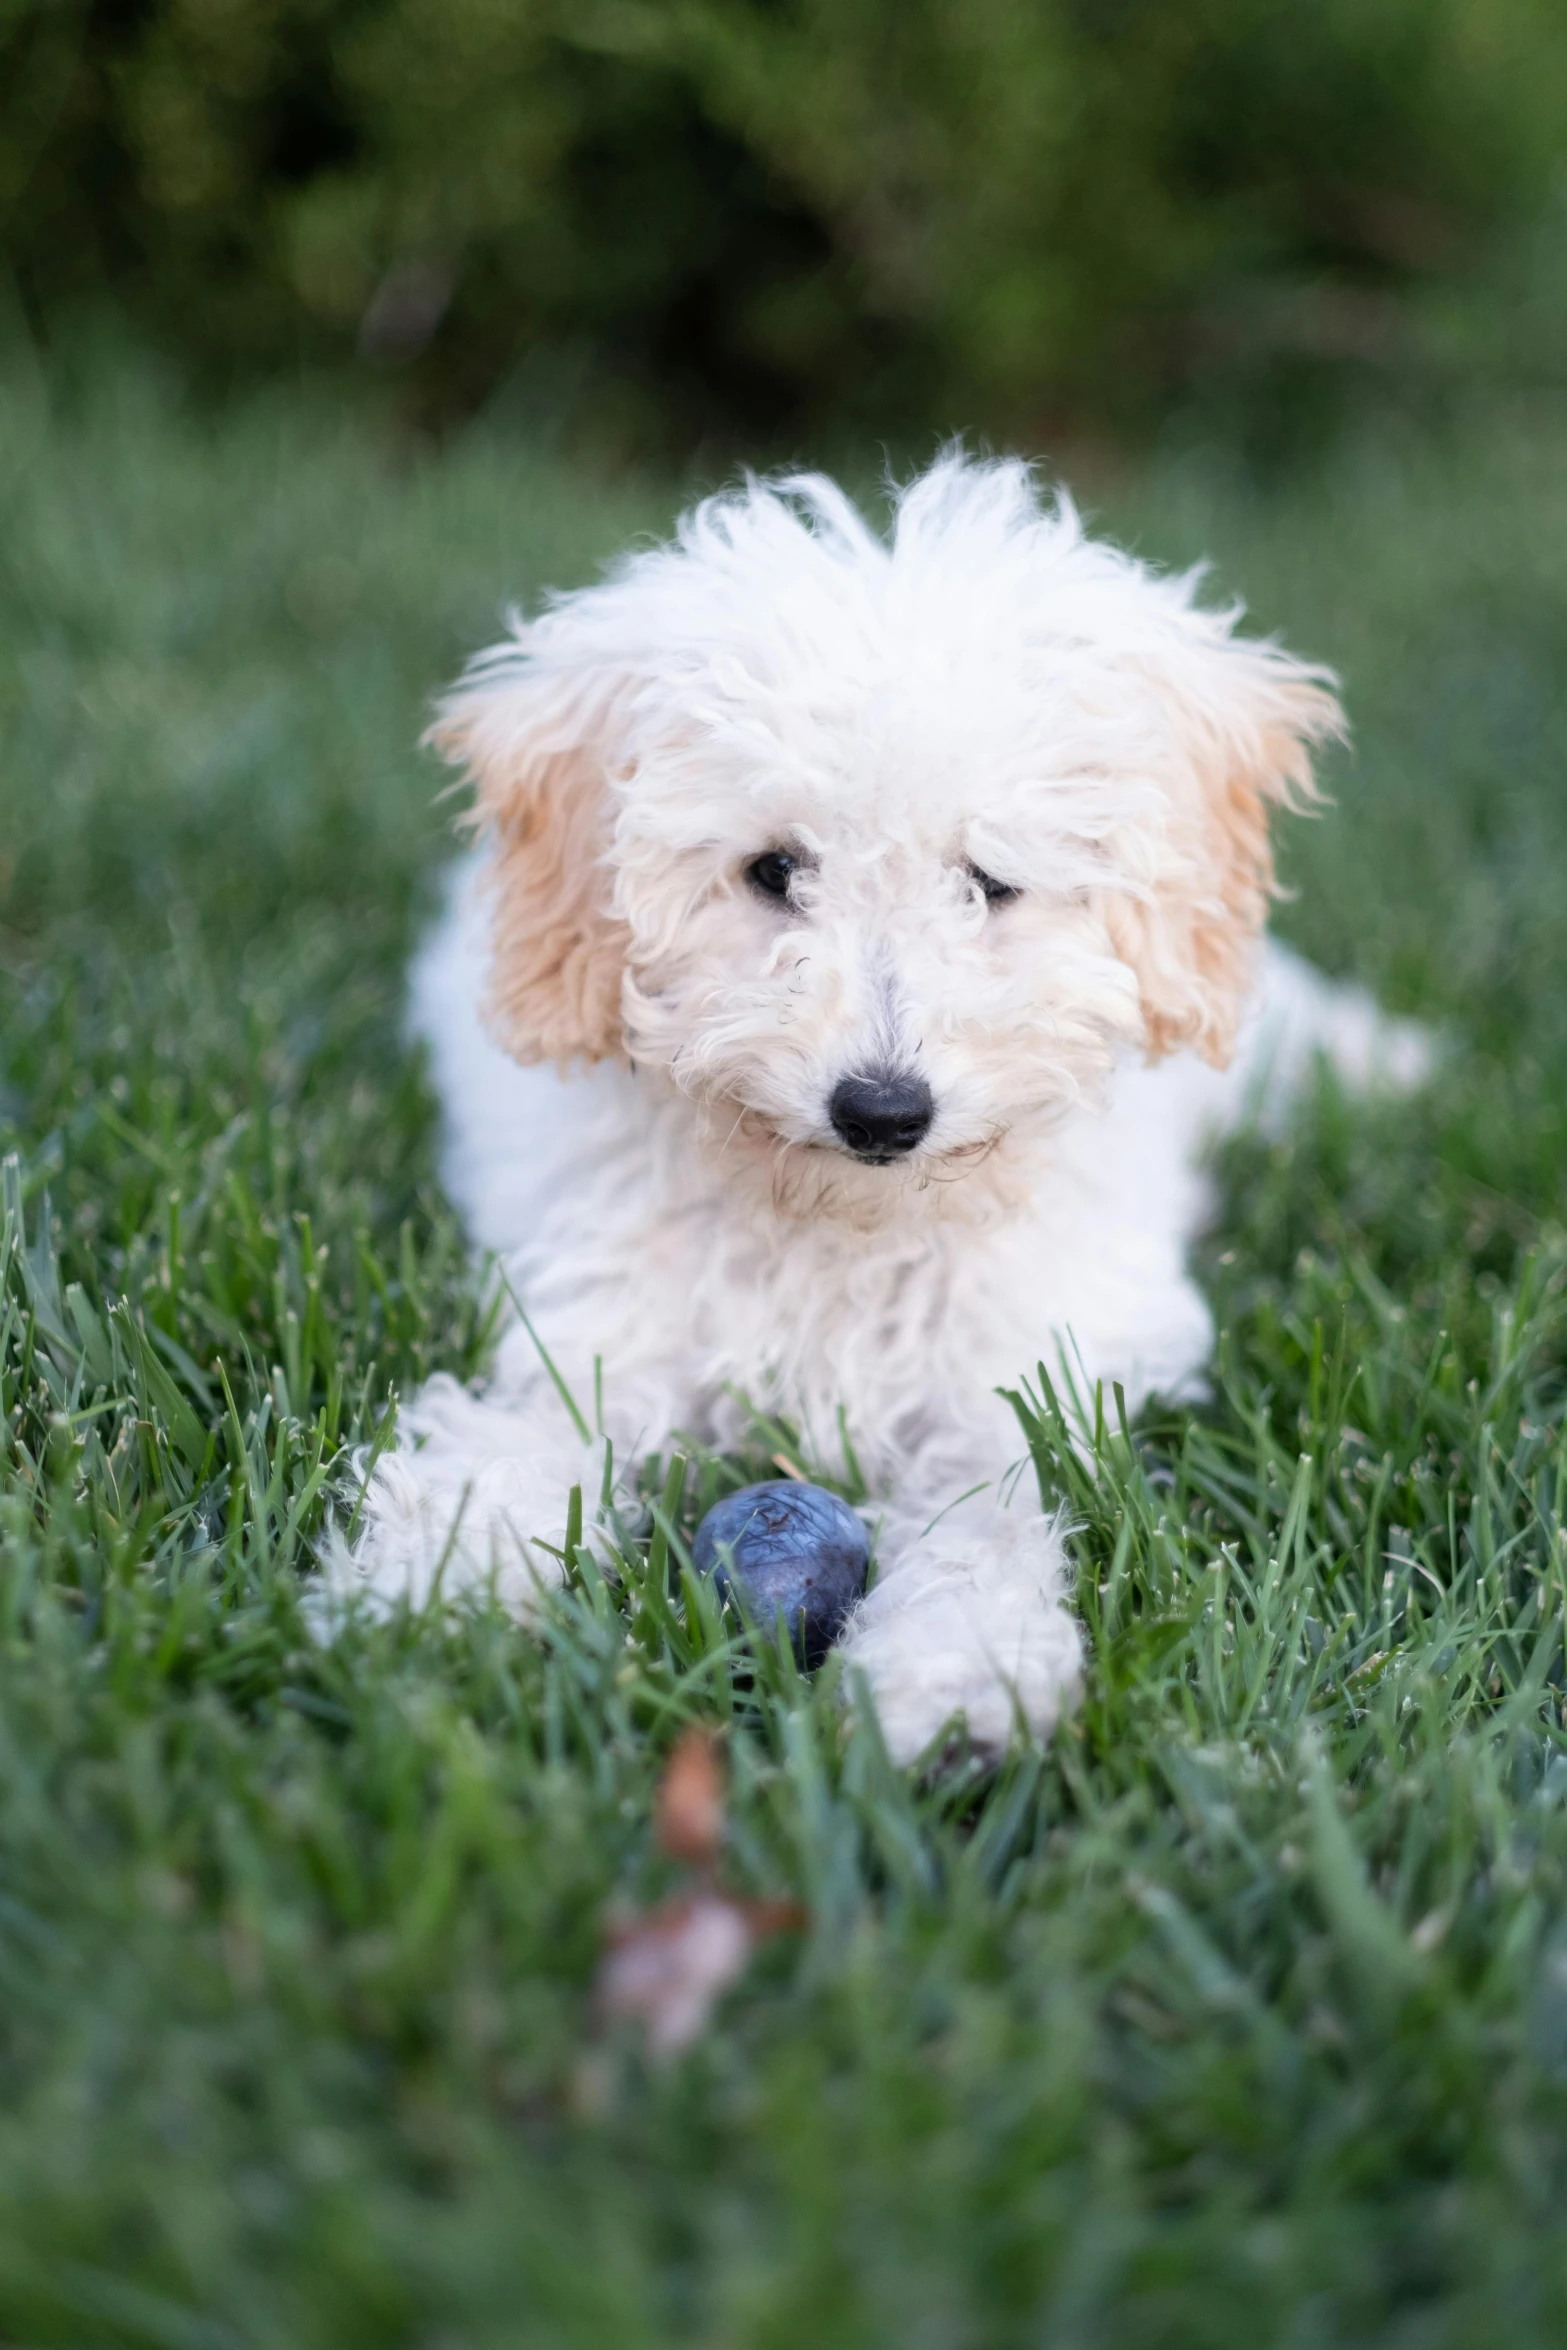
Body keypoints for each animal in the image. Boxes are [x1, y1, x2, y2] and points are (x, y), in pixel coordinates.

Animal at [338, 453, 1428, 1767]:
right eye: (772, 870)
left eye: (991, 877)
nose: (881, 1109)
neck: (846, 1224)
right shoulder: (597, 1326)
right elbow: (515, 1433)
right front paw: (433, 1579)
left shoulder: (1015, 1375)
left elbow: (987, 1523)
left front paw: (955, 1681)